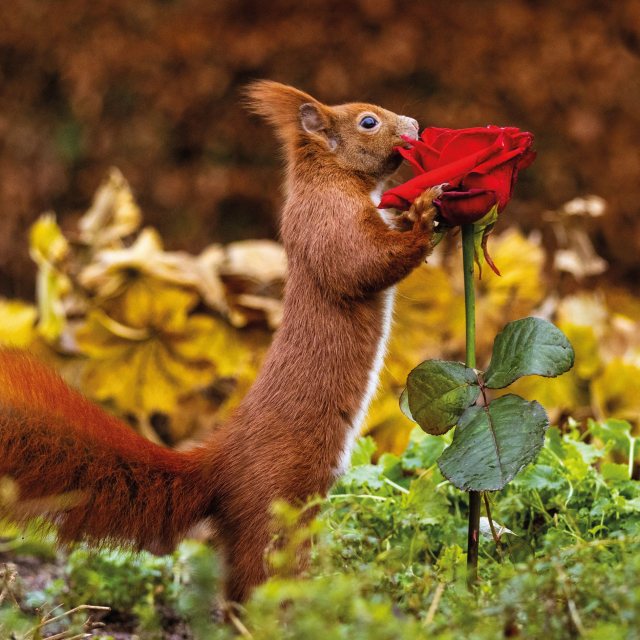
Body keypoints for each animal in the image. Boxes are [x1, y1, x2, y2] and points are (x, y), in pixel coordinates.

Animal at [0, 81, 440, 604]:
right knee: (258, 576)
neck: (329, 180)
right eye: (368, 121)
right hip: (276, 504)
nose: (415, 125)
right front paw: (425, 215)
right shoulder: (327, 222)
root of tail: (221, 467)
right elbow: (360, 263)